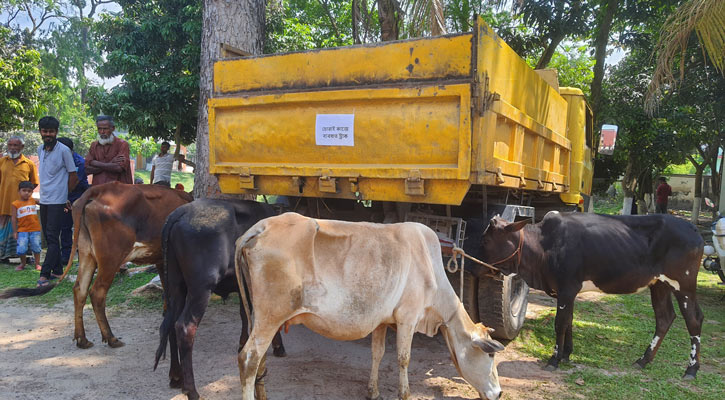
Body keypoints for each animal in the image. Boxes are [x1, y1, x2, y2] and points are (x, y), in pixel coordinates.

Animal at [0, 183, 192, 348]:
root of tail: (99, 189)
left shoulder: (160, 259)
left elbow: (167, 288)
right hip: (110, 258)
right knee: (97, 292)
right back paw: (111, 338)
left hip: (86, 254)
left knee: (80, 290)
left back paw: (82, 339)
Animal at [156, 198, 286, 398]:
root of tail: (181, 212)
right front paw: (278, 346)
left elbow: (244, 313)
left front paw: (242, 343)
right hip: (200, 289)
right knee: (185, 327)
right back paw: (192, 390)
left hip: (175, 287)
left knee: (169, 324)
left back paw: (176, 376)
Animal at [236, 212, 504, 400]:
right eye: (490, 354)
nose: (499, 392)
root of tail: (261, 227)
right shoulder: (408, 318)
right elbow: (403, 358)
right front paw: (404, 394)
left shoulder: (382, 321)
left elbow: (378, 354)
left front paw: (372, 391)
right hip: (270, 317)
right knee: (249, 359)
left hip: (261, 317)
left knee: (260, 361)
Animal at [480, 212, 700, 378]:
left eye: (487, 239)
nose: (477, 267)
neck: (544, 246)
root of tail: (692, 228)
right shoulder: (567, 292)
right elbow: (569, 320)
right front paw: (566, 354)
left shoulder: (567, 288)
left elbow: (560, 323)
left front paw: (554, 359)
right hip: (659, 285)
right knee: (664, 318)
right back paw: (643, 360)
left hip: (685, 285)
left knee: (693, 320)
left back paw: (691, 369)